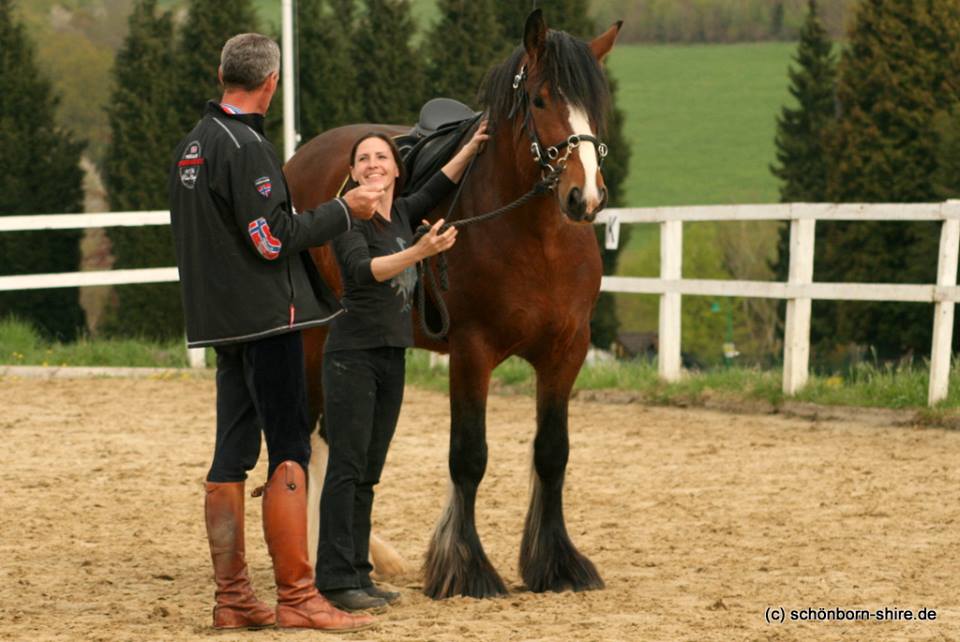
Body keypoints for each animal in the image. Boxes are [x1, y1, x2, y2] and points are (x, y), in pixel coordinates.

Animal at [282, 10, 620, 596]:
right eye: (540, 100)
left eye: (594, 105)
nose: (586, 197)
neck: (538, 240)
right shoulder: (471, 351)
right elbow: (469, 456)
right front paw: (466, 567)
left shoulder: (566, 352)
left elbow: (552, 453)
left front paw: (557, 564)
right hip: (311, 338)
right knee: (309, 440)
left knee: (327, 439)